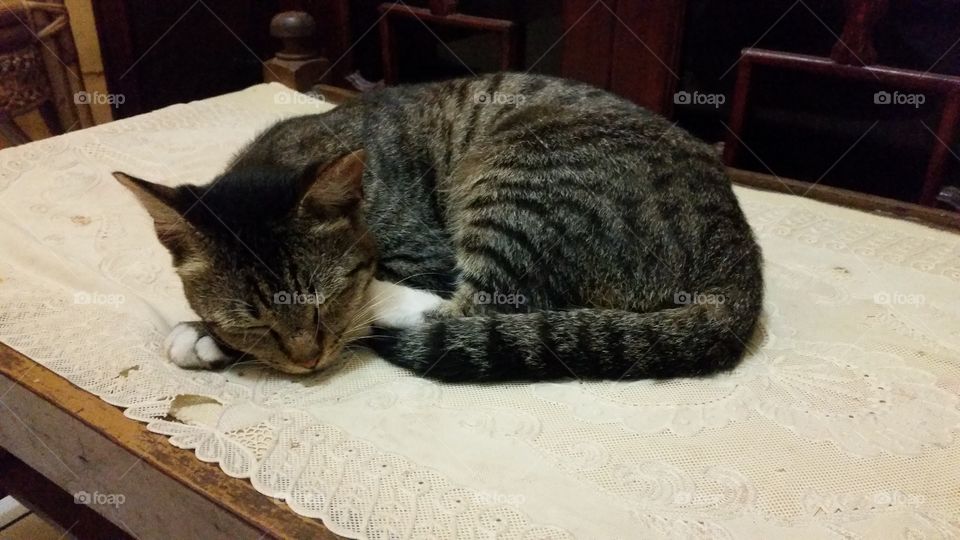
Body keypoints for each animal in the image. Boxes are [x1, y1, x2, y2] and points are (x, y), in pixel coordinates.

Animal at [114, 74, 764, 382]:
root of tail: (737, 251)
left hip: (519, 185)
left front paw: (203, 337)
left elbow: (372, 293)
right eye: (252, 321)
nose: (308, 359)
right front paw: (207, 332)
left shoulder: (421, 254)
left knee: (485, 305)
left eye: (324, 302)